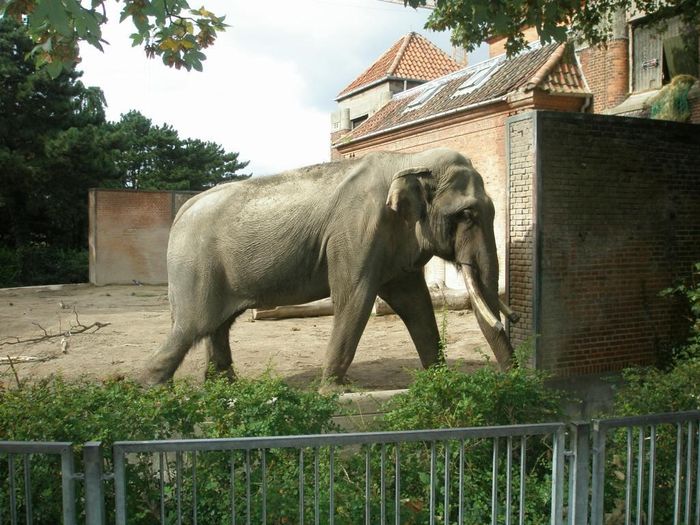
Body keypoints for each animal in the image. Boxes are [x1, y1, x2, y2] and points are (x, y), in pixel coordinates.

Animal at [144, 147, 516, 384]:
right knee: (192, 327)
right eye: (467, 215)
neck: (409, 160)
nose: (516, 381)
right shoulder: (356, 233)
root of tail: (183, 208)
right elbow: (354, 299)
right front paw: (333, 390)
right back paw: (154, 389)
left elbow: (415, 304)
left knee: (217, 327)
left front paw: (438, 380)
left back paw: (224, 389)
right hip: (195, 269)